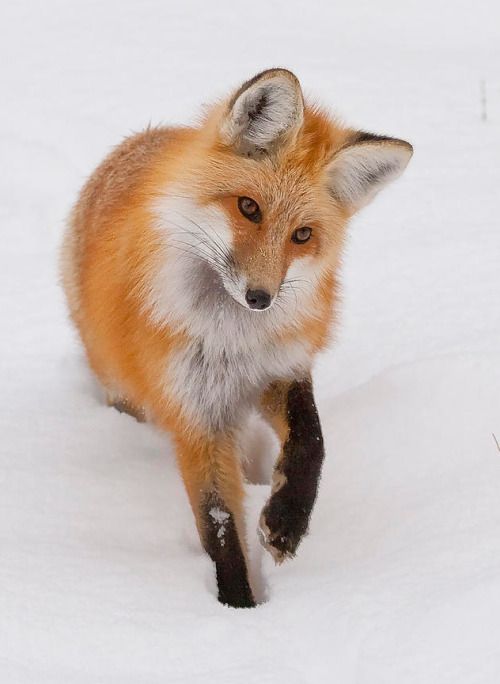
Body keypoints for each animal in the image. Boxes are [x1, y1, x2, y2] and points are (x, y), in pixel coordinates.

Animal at [61, 68, 412, 608]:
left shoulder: (278, 370)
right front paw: (238, 612)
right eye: (248, 207)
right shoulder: (196, 415)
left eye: (303, 235)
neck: (230, 341)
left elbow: (312, 440)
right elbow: (219, 525)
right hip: (121, 383)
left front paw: (286, 522)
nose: (260, 299)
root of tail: (139, 139)